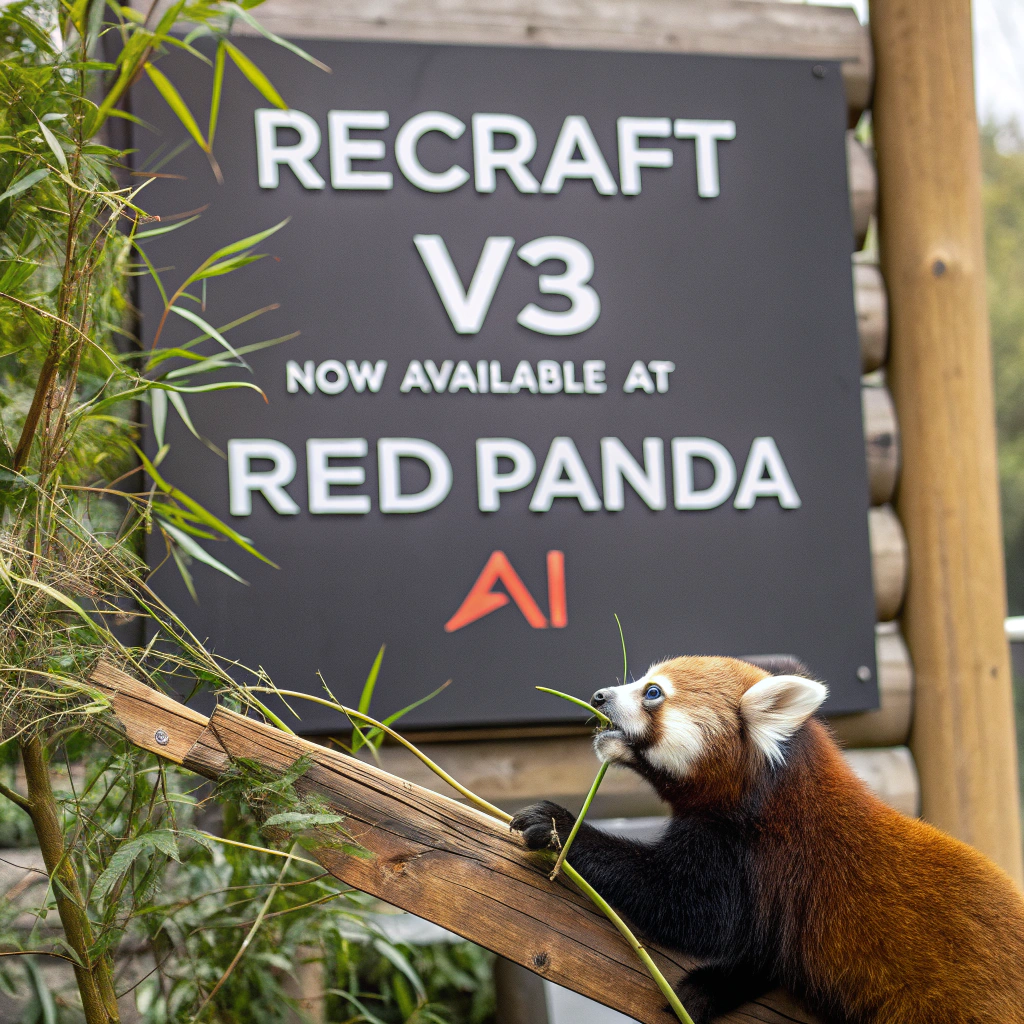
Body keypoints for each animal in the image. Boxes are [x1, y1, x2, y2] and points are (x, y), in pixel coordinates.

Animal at [510, 655, 1024, 1024]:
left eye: (652, 692)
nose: (598, 694)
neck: (768, 793)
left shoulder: (764, 855)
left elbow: (691, 912)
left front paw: (557, 826)